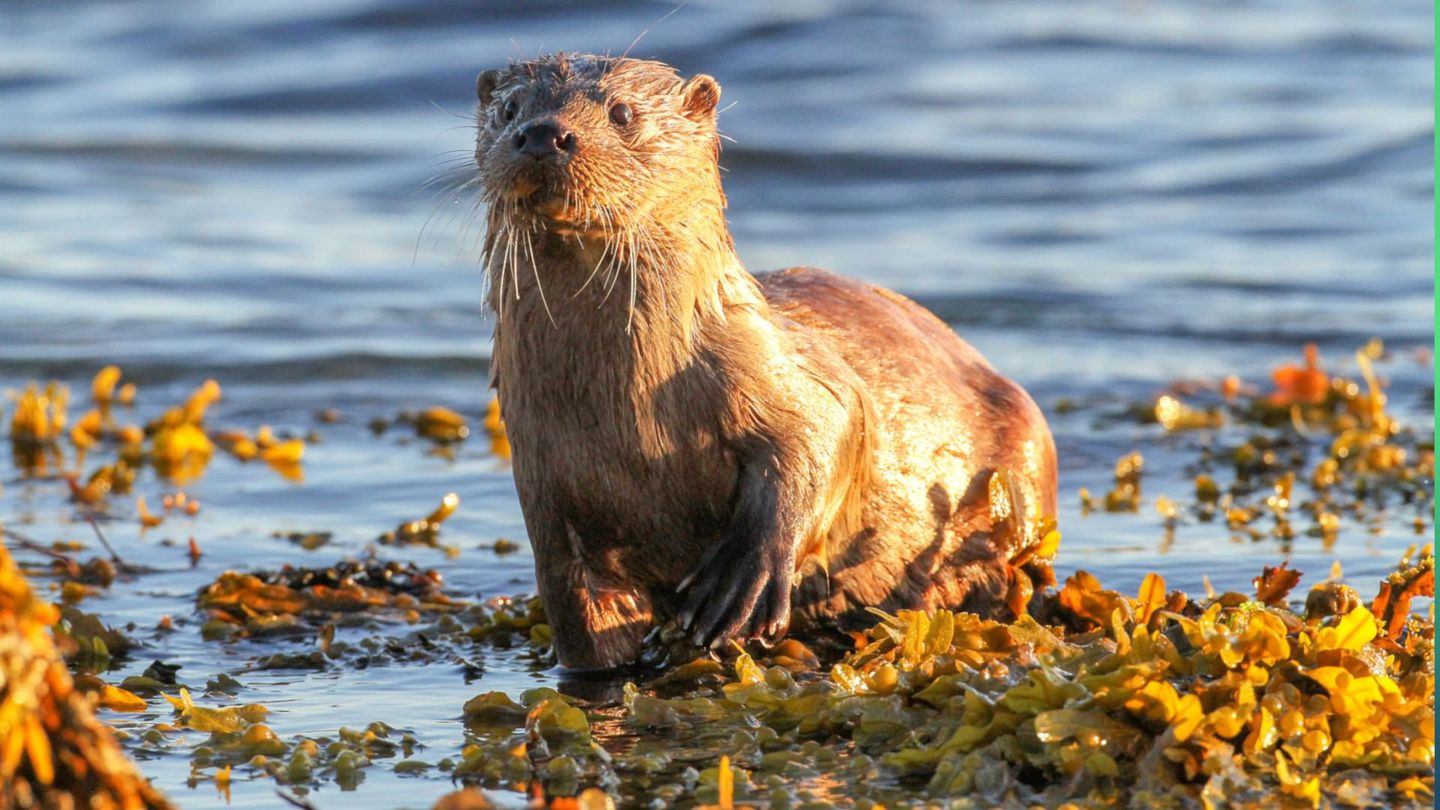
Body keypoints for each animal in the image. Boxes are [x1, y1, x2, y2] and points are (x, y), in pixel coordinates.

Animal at [472, 51, 1059, 668]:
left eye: (622, 112)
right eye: (510, 109)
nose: (543, 134)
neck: (625, 419)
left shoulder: (792, 375)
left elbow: (827, 433)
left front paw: (740, 582)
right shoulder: (545, 490)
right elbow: (584, 628)